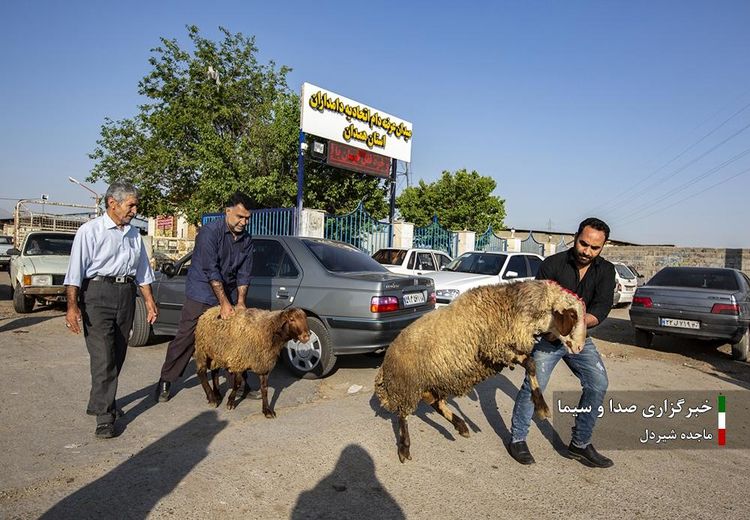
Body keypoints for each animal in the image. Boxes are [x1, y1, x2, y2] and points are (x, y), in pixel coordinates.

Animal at [376, 280, 588, 464]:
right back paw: (404, 449)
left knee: (437, 403)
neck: (512, 305)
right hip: (406, 386)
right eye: (573, 315)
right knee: (403, 415)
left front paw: (541, 406)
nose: (580, 348)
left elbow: (531, 364)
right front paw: (542, 408)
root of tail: (385, 364)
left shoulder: (501, 350)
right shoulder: (496, 348)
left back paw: (461, 426)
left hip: (434, 381)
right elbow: (530, 363)